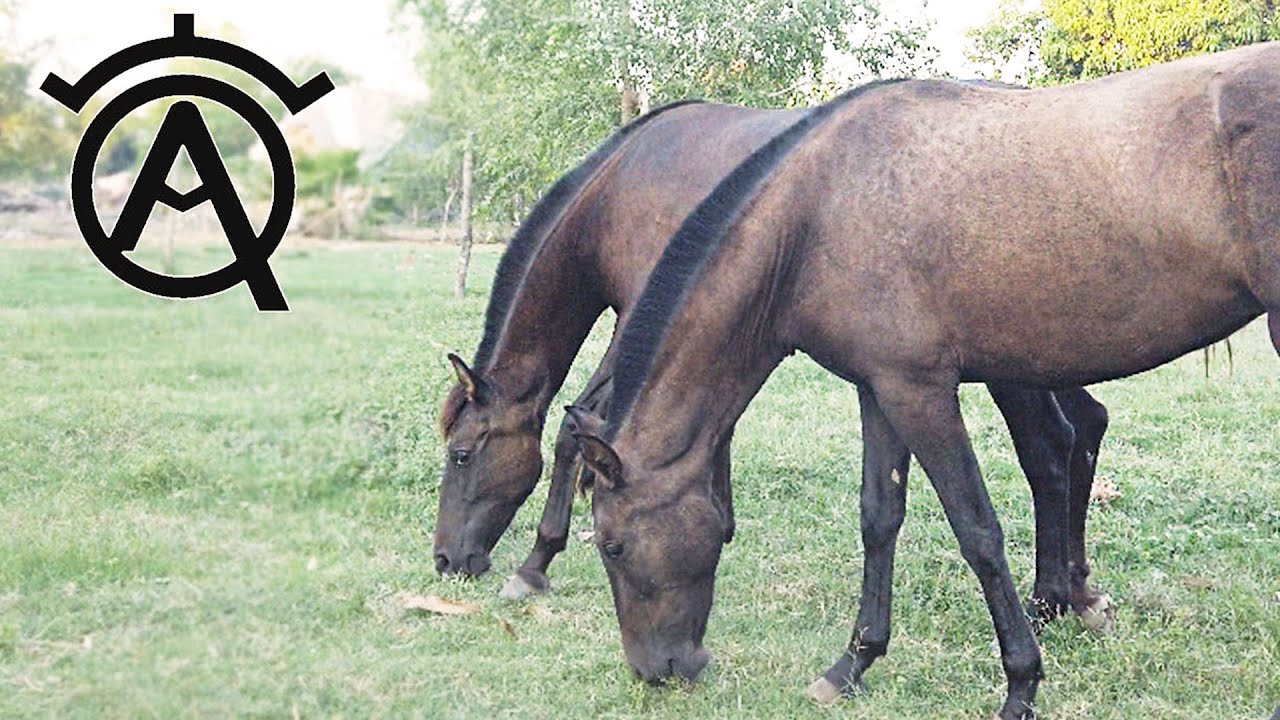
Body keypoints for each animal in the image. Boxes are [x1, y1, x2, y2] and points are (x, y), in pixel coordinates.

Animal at [432, 97, 1114, 627]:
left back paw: (1050, 599)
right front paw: (718, 519)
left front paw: (536, 563)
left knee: (1050, 448)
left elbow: (578, 427)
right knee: (1086, 426)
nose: (446, 560)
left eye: (461, 454)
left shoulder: (639, 321)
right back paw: (1078, 590)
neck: (618, 192)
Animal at [568, 43, 1280, 720]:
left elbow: (978, 530)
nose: (658, 671)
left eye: (613, 545)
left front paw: (1020, 687)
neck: (815, 214)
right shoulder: (879, 389)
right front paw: (852, 665)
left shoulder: (921, 392)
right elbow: (879, 517)